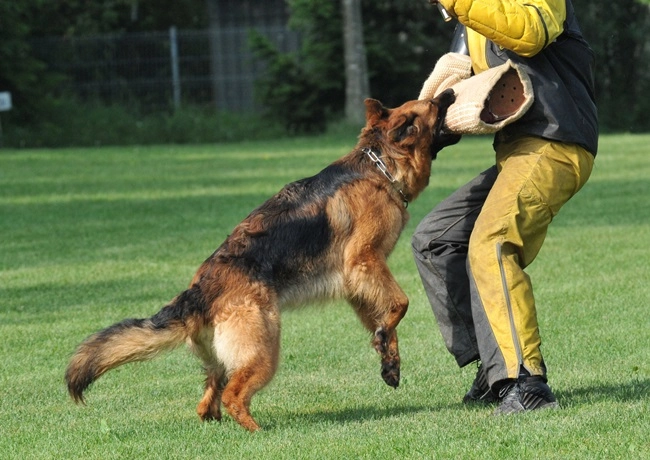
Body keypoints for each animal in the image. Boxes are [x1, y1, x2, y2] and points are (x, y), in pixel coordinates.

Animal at [64, 90, 456, 432]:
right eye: (432, 105)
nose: (451, 91)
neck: (380, 166)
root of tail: (198, 293)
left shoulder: (358, 283)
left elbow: (384, 321)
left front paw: (388, 357)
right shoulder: (364, 261)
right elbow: (401, 303)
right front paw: (386, 338)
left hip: (226, 359)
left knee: (209, 398)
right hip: (264, 349)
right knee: (234, 396)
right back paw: (257, 431)